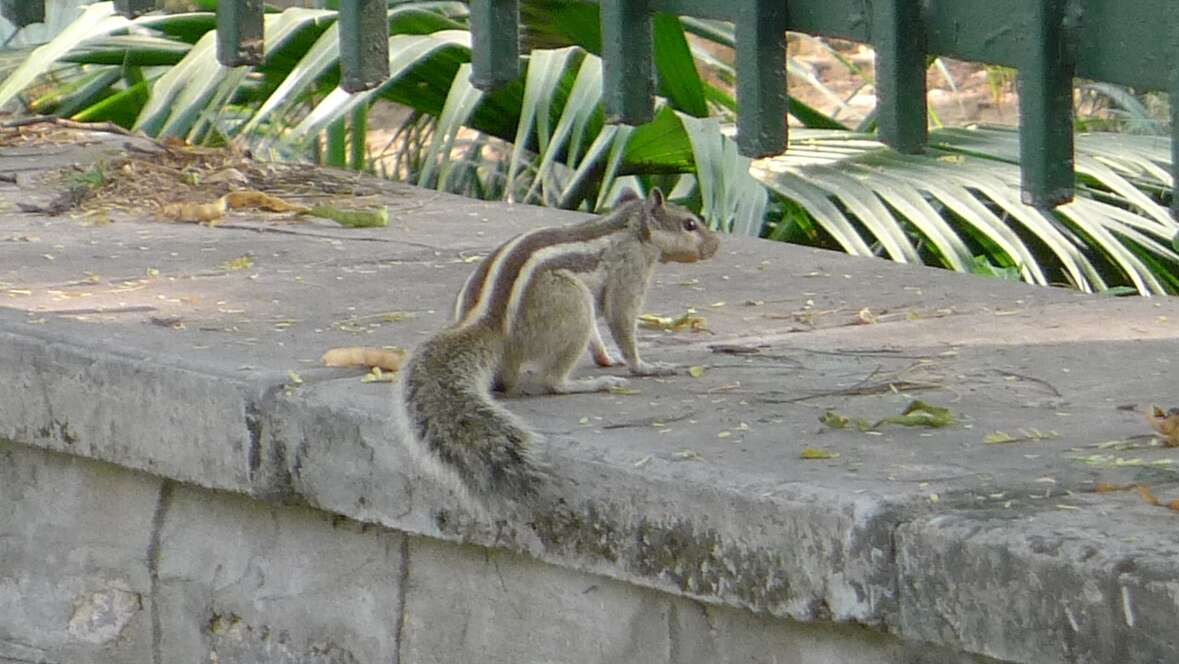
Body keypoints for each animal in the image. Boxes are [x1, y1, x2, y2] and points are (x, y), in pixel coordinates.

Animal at [393, 189, 716, 511]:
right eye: (689, 224)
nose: (716, 245)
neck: (630, 226)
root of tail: (488, 323)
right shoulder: (631, 268)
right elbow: (621, 318)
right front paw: (646, 367)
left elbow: (598, 336)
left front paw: (607, 358)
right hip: (572, 303)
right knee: (553, 382)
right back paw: (592, 384)